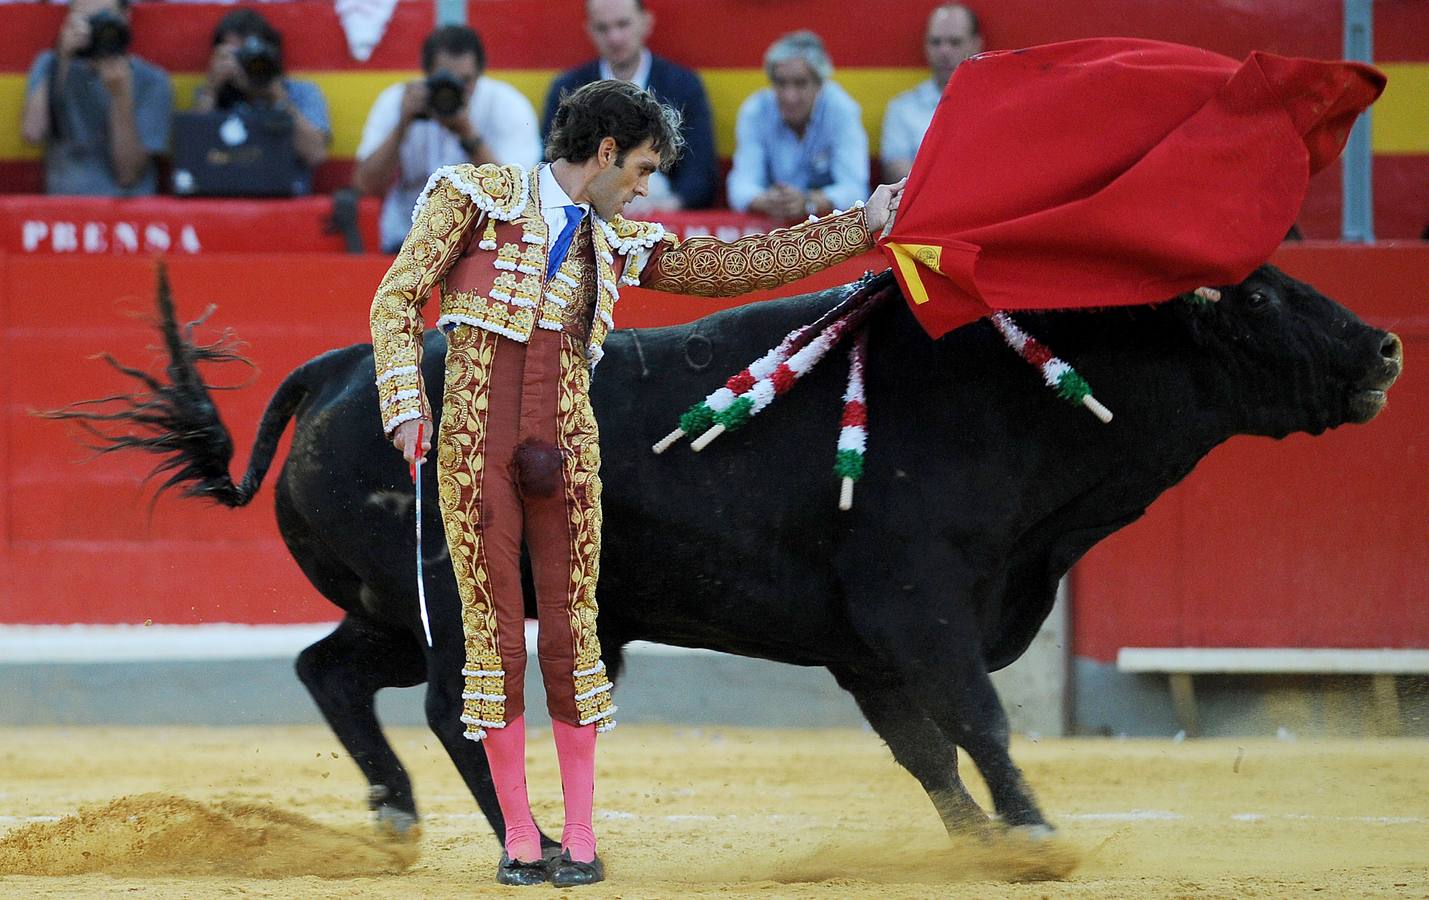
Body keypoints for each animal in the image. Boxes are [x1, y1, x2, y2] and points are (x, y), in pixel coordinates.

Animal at [52, 264, 1394, 880]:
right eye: (1261, 298)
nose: (1384, 344)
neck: (1009, 396)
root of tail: (339, 366)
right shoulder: (919, 611)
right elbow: (983, 722)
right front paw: (1034, 839)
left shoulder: (869, 649)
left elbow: (926, 750)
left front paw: (972, 845)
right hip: (465, 603)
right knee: (446, 705)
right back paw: (531, 842)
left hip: (395, 608)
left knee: (329, 669)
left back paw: (396, 816)